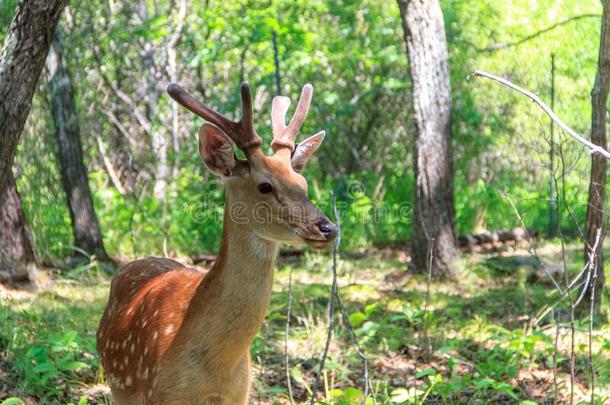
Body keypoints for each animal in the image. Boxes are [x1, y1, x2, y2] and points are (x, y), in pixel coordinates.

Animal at [97, 80, 334, 402]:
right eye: (265, 186)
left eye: (303, 184)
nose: (328, 228)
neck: (217, 373)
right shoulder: (158, 395)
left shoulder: (240, 395)